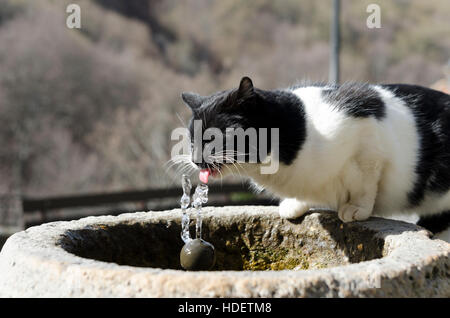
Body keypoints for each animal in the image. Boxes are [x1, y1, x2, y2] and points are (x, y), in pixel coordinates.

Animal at [181, 76, 450, 236]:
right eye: (192, 139)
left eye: (213, 137)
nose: (195, 159)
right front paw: (295, 204)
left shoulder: (368, 138)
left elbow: (365, 184)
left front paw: (357, 209)